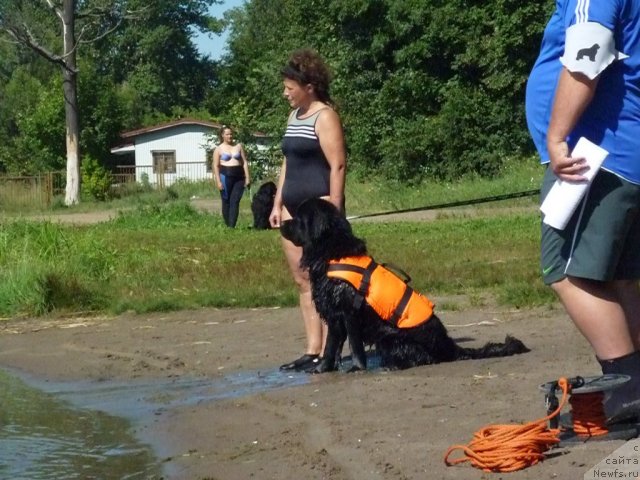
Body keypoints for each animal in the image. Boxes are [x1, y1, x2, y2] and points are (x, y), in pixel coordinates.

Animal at [282, 197, 528, 374]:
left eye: (298, 218)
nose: (280, 223)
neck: (331, 252)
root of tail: (448, 345)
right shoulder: (334, 314)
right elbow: (331, 346)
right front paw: (324, 369)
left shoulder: (347, 311)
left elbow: (352, 346)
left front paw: (355, 368)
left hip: (390, 338)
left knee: (423, 358)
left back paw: (392, 365)